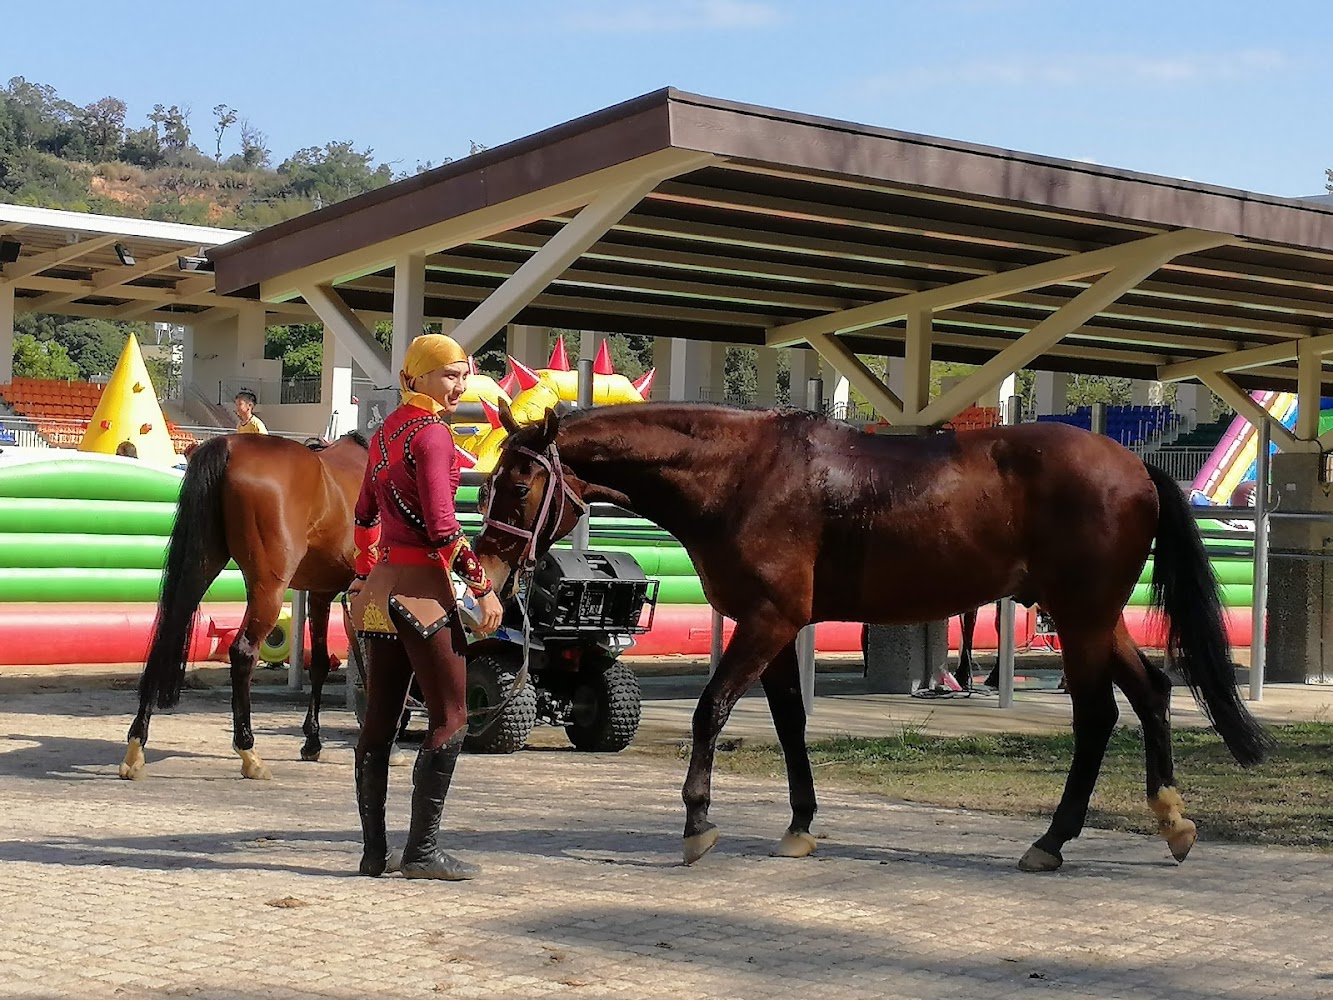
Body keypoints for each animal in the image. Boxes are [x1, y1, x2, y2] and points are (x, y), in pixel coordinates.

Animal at [118, 430, 370, 781]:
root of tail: (229, 447)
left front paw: (312, 741)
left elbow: (320, 662)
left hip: (202, 566)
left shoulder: (321, 593)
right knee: (242, 652)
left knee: (166, 635)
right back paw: (249, 751)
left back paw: (136, 747)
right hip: (269, 589)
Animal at [474, 401, 1273, 873]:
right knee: (1152, 691)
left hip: (1078, 618)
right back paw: (1170, 819)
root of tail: (1135, 464)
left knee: (1099, 715)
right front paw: (799, 825)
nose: (487, 568)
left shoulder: (765, 621)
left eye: (515, 485)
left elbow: (710, 712)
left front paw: (698, 822)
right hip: (1093, 617)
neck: (741, 474)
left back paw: (1051, 840)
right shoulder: (779, 628)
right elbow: (790, 725)